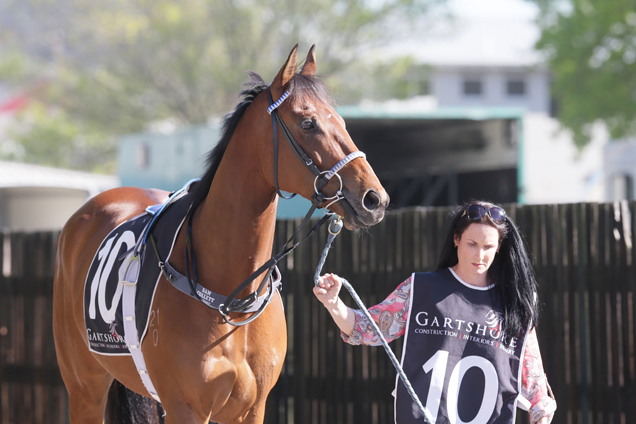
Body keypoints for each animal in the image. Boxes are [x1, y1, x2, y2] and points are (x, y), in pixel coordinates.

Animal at [51, 44, 388, 422]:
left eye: (341, 121)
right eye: (308, 123)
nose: (374, 199)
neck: (231, 298)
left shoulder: (251, 408)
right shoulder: (185, 408)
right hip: (85, 388)